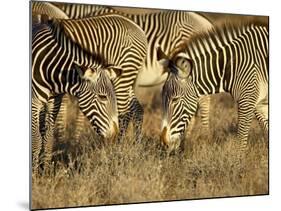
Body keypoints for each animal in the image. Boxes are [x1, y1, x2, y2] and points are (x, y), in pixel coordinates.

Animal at [31, 21, 120, 172]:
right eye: (102, 97)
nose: (115, 134)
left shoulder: (55, 102)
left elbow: (48, 137)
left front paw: (46, 172)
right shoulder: (34, 102)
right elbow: (36, 138)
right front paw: (34, 173)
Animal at [156, 20, 268, 153]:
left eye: (175, 100)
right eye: (162, 98)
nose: (163, 143)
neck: (231, 64)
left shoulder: (247, 101)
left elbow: (241, 141)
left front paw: (238, 159)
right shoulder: (260, 104)